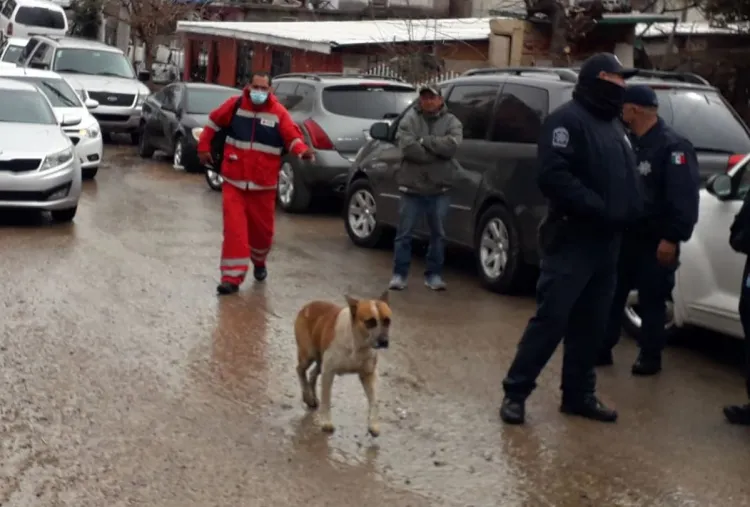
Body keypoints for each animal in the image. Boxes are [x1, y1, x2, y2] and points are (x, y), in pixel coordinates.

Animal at [296, 292, 394, 434]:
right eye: (370, 322)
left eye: (387, 320)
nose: (384, 341)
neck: (358, 345)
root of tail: (307, 306)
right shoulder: (328, 372)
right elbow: (326, 398)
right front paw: (326, 421)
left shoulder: (368, 375)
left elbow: (374, 401)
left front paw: (373, 424)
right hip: (308, 355)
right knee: (300, 370)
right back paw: (307, 396)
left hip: (320, 362)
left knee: (313, 374)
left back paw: (312, 397)